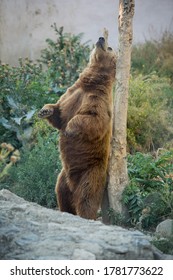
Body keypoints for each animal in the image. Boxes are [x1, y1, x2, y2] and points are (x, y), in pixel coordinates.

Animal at [38, 35, 116, 219]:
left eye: (110, 48)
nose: (101, 38)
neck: (90, 83)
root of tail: (73, 186)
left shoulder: (99, 100)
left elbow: (93, 119)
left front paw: (69, 129)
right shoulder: (72, 93)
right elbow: (59, 112)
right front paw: (44, 110)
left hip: (90, 173)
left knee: (86, 199)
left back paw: (86, 215)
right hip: (63, 177)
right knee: (61, 194)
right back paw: (65, 210)